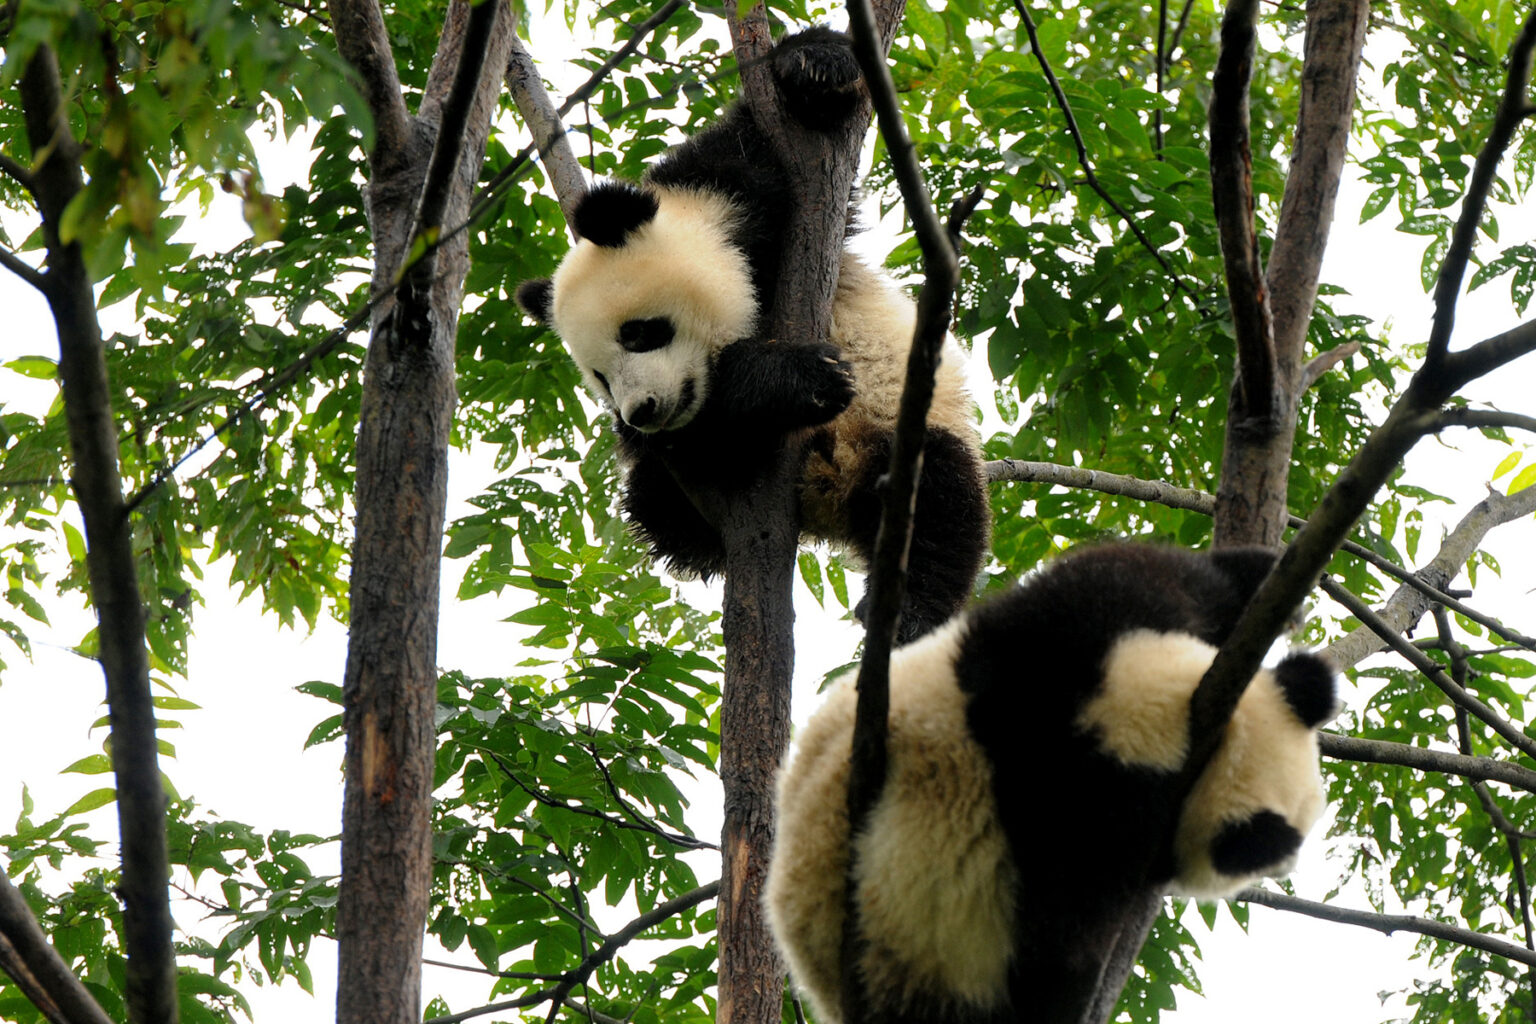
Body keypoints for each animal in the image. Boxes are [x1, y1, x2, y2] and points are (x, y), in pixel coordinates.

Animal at [515, 27, 989, 643]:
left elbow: (762, 145)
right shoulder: (679, 435)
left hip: (903, 424)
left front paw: (814, 65)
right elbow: (706, 434)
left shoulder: (735, 197)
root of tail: (830, 499)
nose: (641, 411)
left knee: (935, 501)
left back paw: (907, 611)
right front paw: (793, 379)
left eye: (639, 334)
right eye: (599, 377)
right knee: (655, 506)